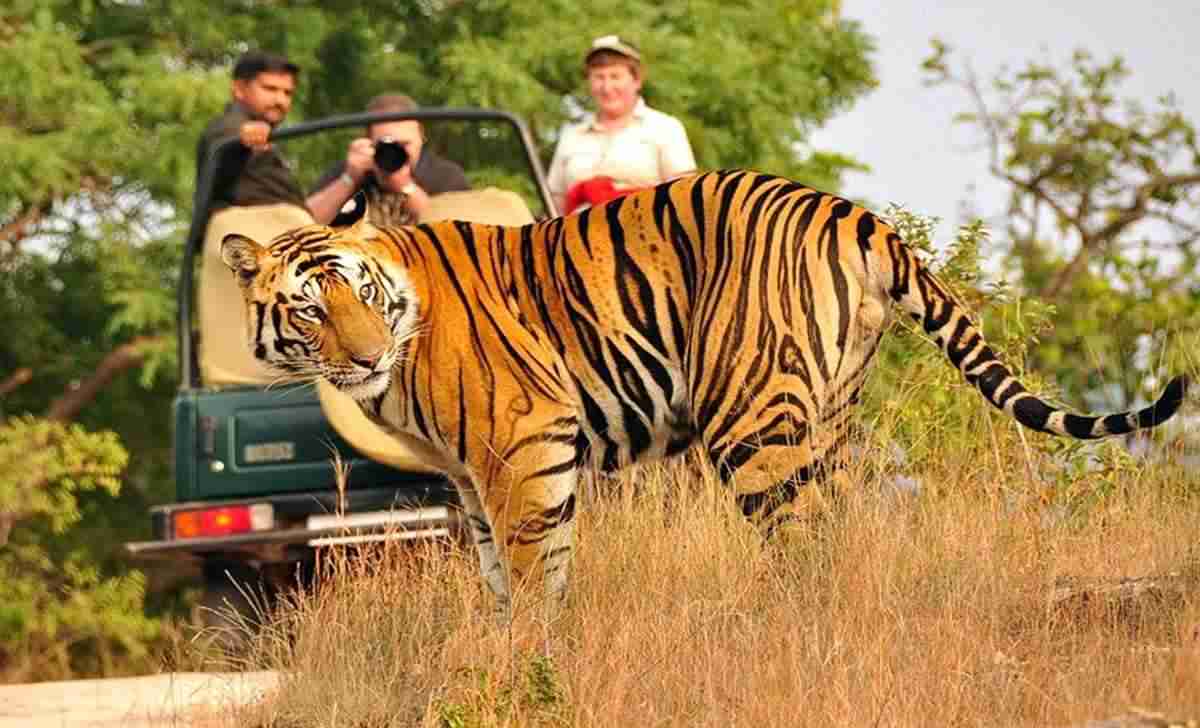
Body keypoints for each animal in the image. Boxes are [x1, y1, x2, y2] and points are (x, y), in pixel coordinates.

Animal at [219, 169, 1190, 620]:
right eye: (310, 307)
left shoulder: (526, 447)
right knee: (842, 531)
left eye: (360, 292)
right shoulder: (469, 478)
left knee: (802, 545)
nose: (364, 357)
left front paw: (531, 660)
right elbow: (502, 577)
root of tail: (853, 211)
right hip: (828, 416)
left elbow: (535, 574)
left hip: (752, 422)